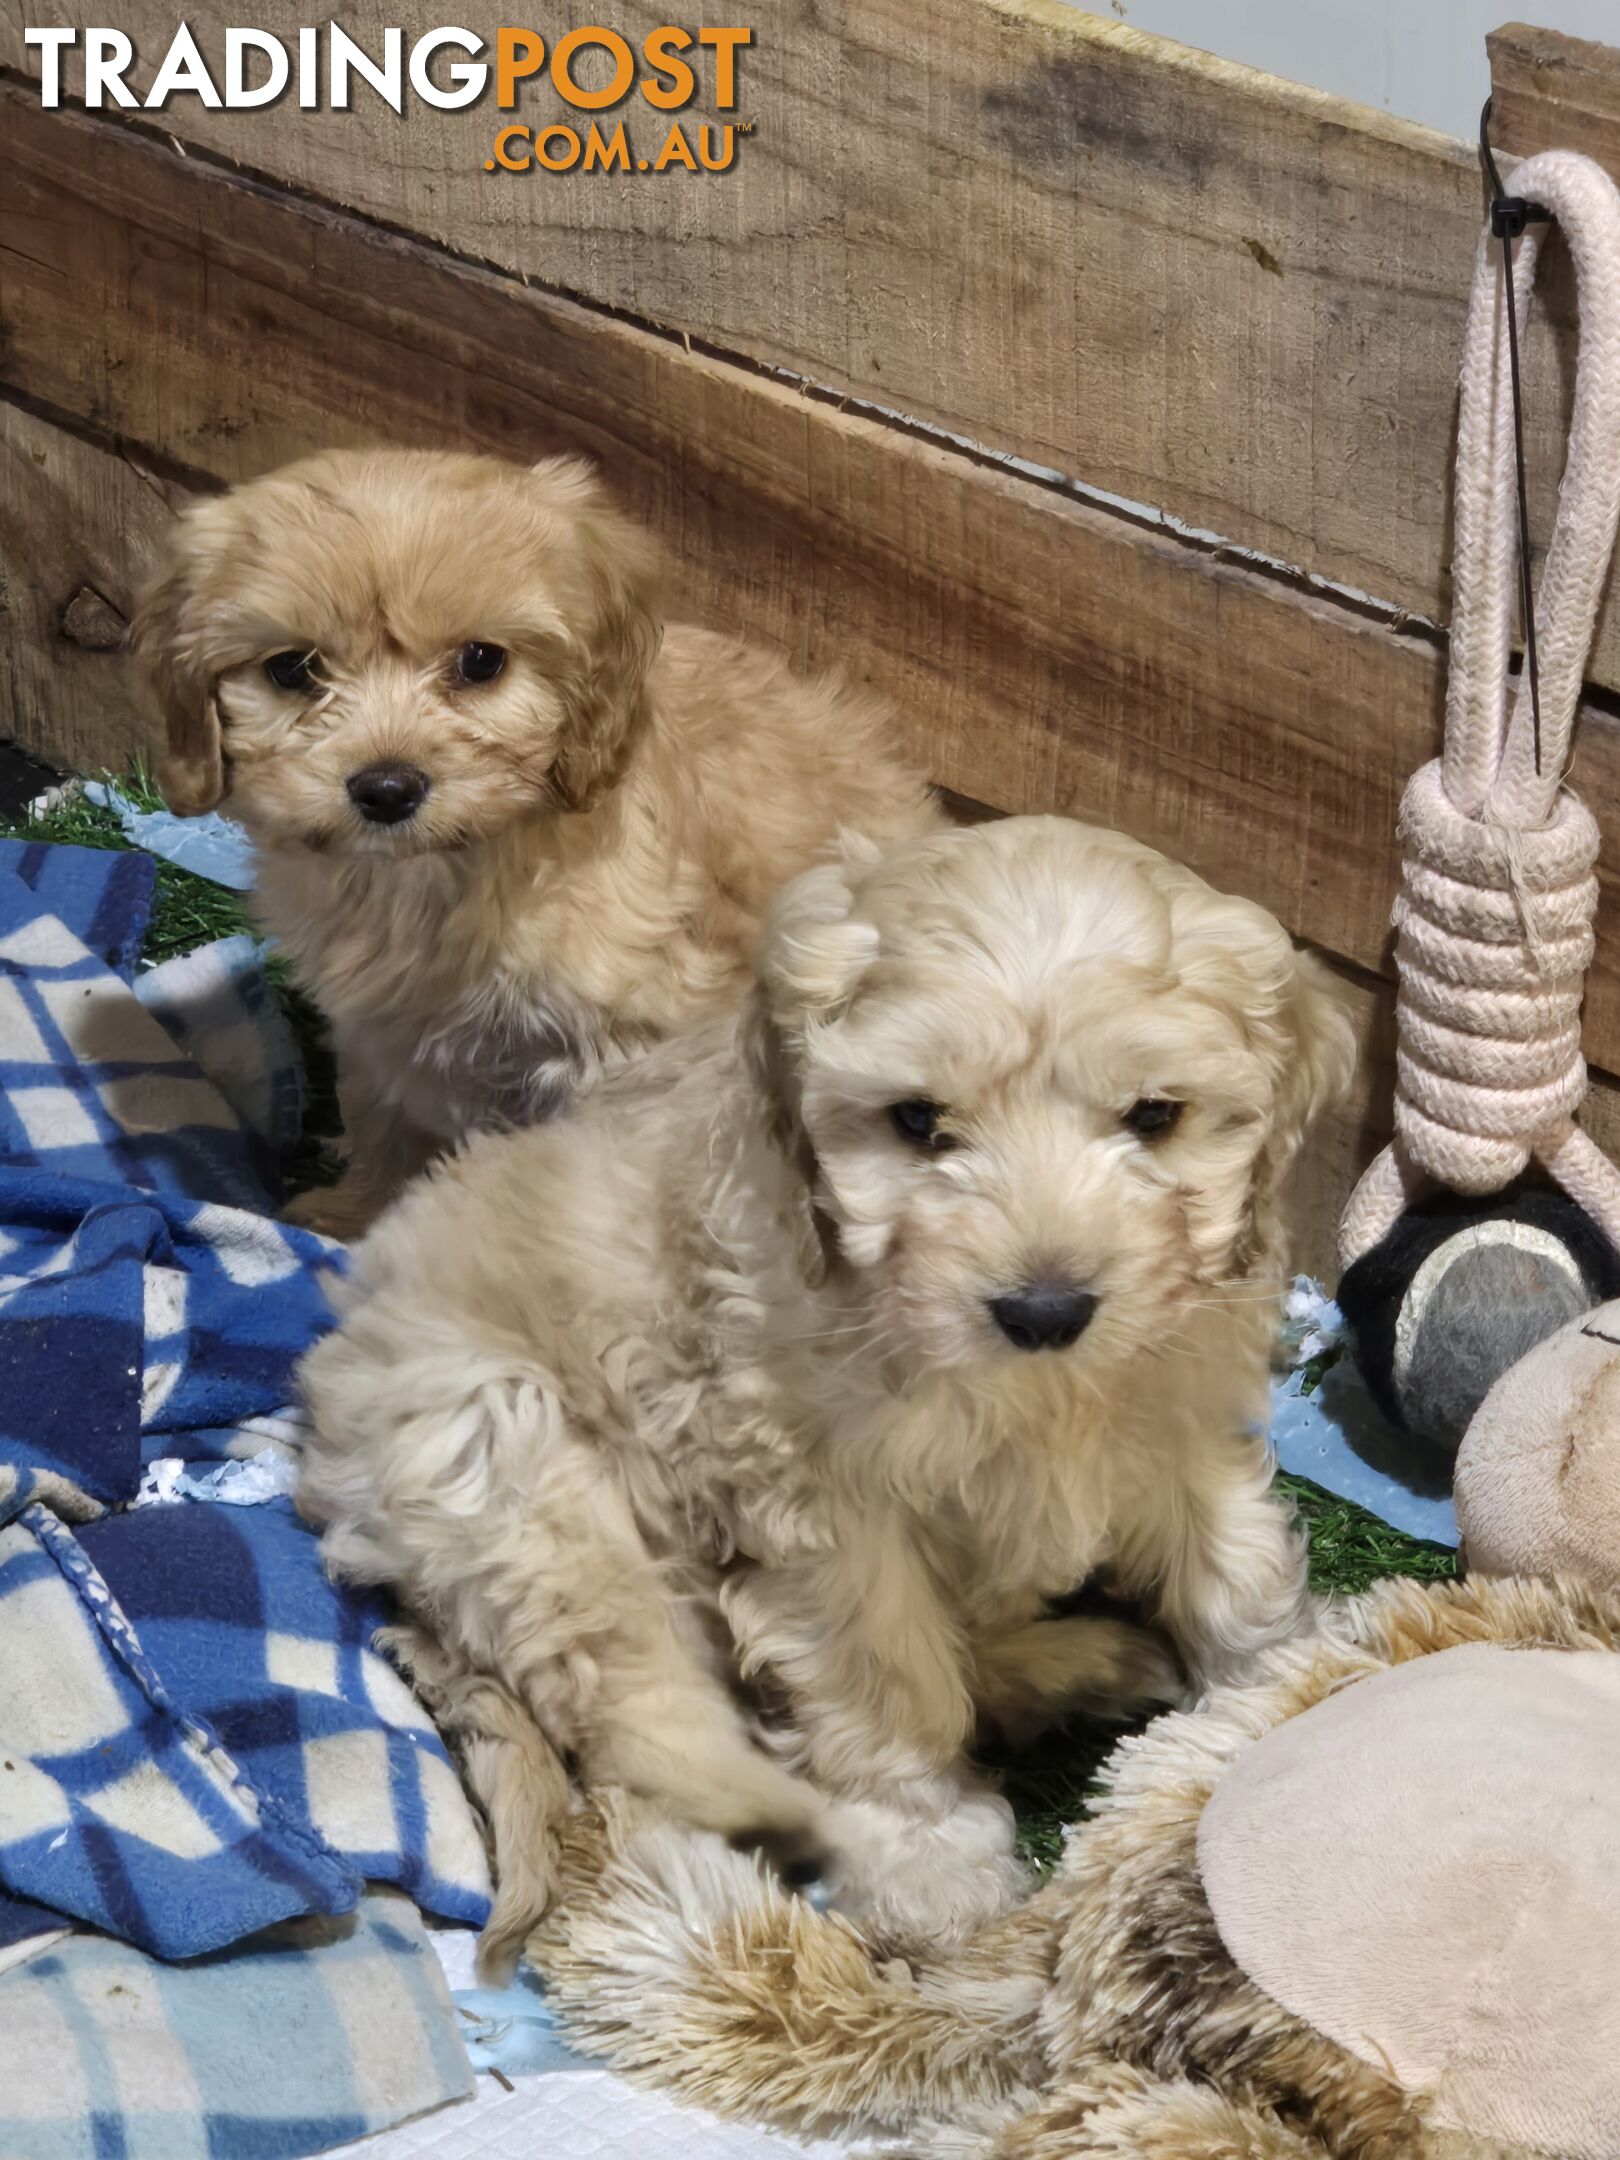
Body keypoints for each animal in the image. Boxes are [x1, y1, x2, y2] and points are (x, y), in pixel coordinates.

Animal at [138, 447, 937, 1235]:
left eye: (481, 661)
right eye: (293, 668)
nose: (388, 790)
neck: (441, 876)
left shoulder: (632, 1047)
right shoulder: (378, 1034)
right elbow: (381, 1119)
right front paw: (355, 1217)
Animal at [295, 812, 1356, 1961]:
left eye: (1155, 1115)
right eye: (917, 1122)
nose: (1045, 1309)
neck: (1039, 1393)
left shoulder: (1180, 1412)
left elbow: (1237, 1569)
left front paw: (1285, 1715)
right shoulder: (823, 1506)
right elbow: (888, 1676)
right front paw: (925, 1857)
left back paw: (1078, 1664)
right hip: (503, 1456)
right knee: (643, 1715)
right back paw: (789, 1822)